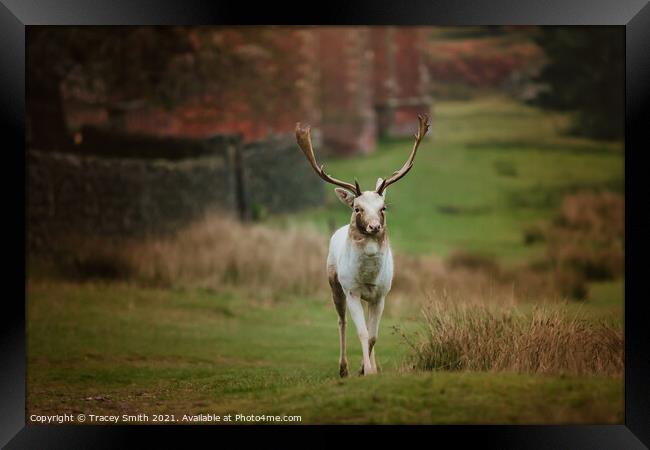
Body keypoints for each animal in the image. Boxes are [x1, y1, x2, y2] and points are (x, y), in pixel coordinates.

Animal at [294, 115, 428, 376]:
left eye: (383, 208)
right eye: (357, 208)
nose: (374, 227)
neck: (367, 277)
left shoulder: (381, 294)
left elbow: (373, 336)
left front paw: (368, 369)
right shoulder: (352, 290)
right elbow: (362, 333)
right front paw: (365, 370)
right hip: (334, 284)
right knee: (342, 321)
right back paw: (343, 368)